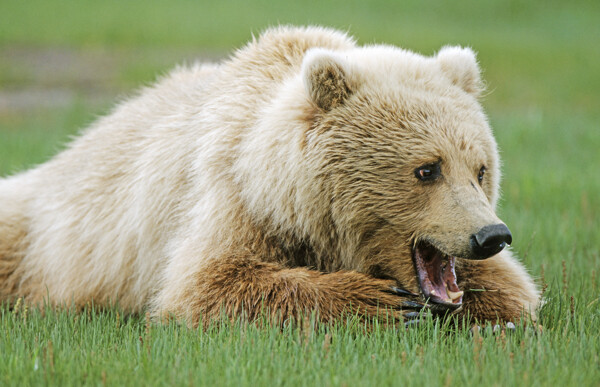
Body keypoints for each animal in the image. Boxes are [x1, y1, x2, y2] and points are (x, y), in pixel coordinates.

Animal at [0, 25, 540, 328]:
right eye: (427, 169)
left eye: (481, 169)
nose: (491, 234)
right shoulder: (234, 199)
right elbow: (206, 285)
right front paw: (380, 304)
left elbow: (515, 290)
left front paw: (492, 314)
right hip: (38, 234)